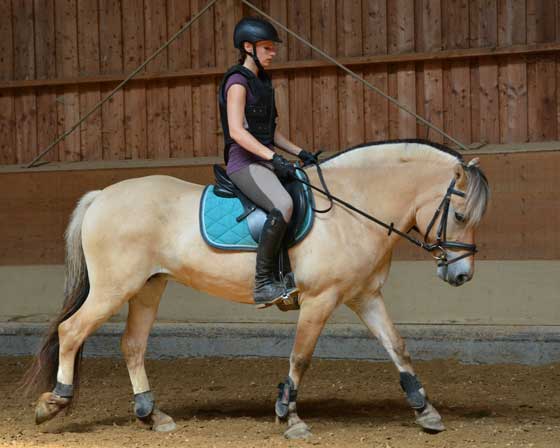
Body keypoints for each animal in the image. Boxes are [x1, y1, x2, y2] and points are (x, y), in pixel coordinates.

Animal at [23, 138, 486, 440]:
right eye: (460, 215)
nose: (462, 275)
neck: (353, 206)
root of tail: (102, 195)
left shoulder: (364, 296)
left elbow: (398, 347)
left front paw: (426, 412)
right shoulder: (320, 299)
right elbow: (301, 356)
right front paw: (290, 416)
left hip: (148, 288)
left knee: (132, 345)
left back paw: (152, 416)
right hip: (114, 288)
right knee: (72, 331)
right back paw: (54, 403)